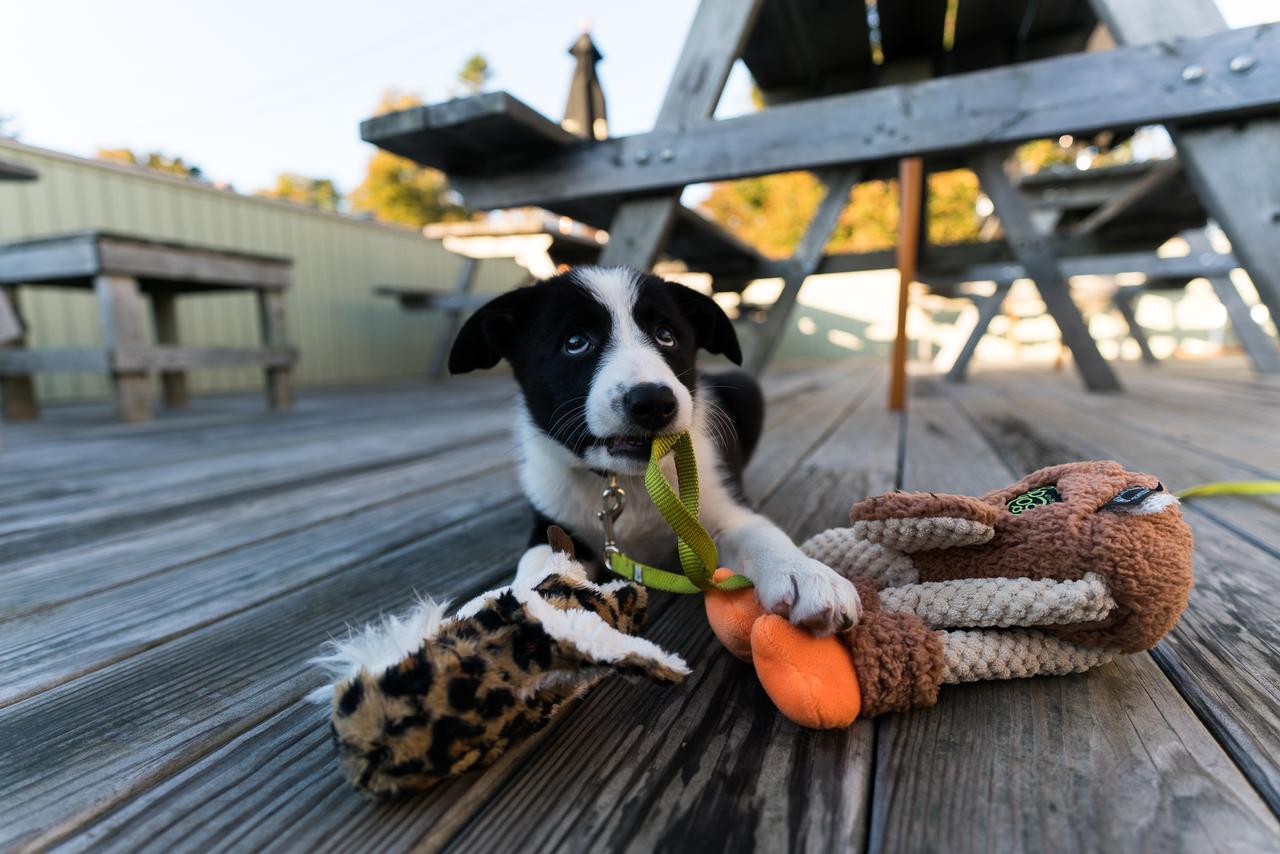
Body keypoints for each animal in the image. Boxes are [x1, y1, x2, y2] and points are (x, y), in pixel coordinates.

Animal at [448, 267, 860, 635]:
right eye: (575, 342)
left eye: (666, 336)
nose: (653, 403)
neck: (626, 482)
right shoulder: (552, 520)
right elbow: (538, 562)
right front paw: (506, 604)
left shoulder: (721, 507)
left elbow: (759, 533)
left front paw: (803, 573)